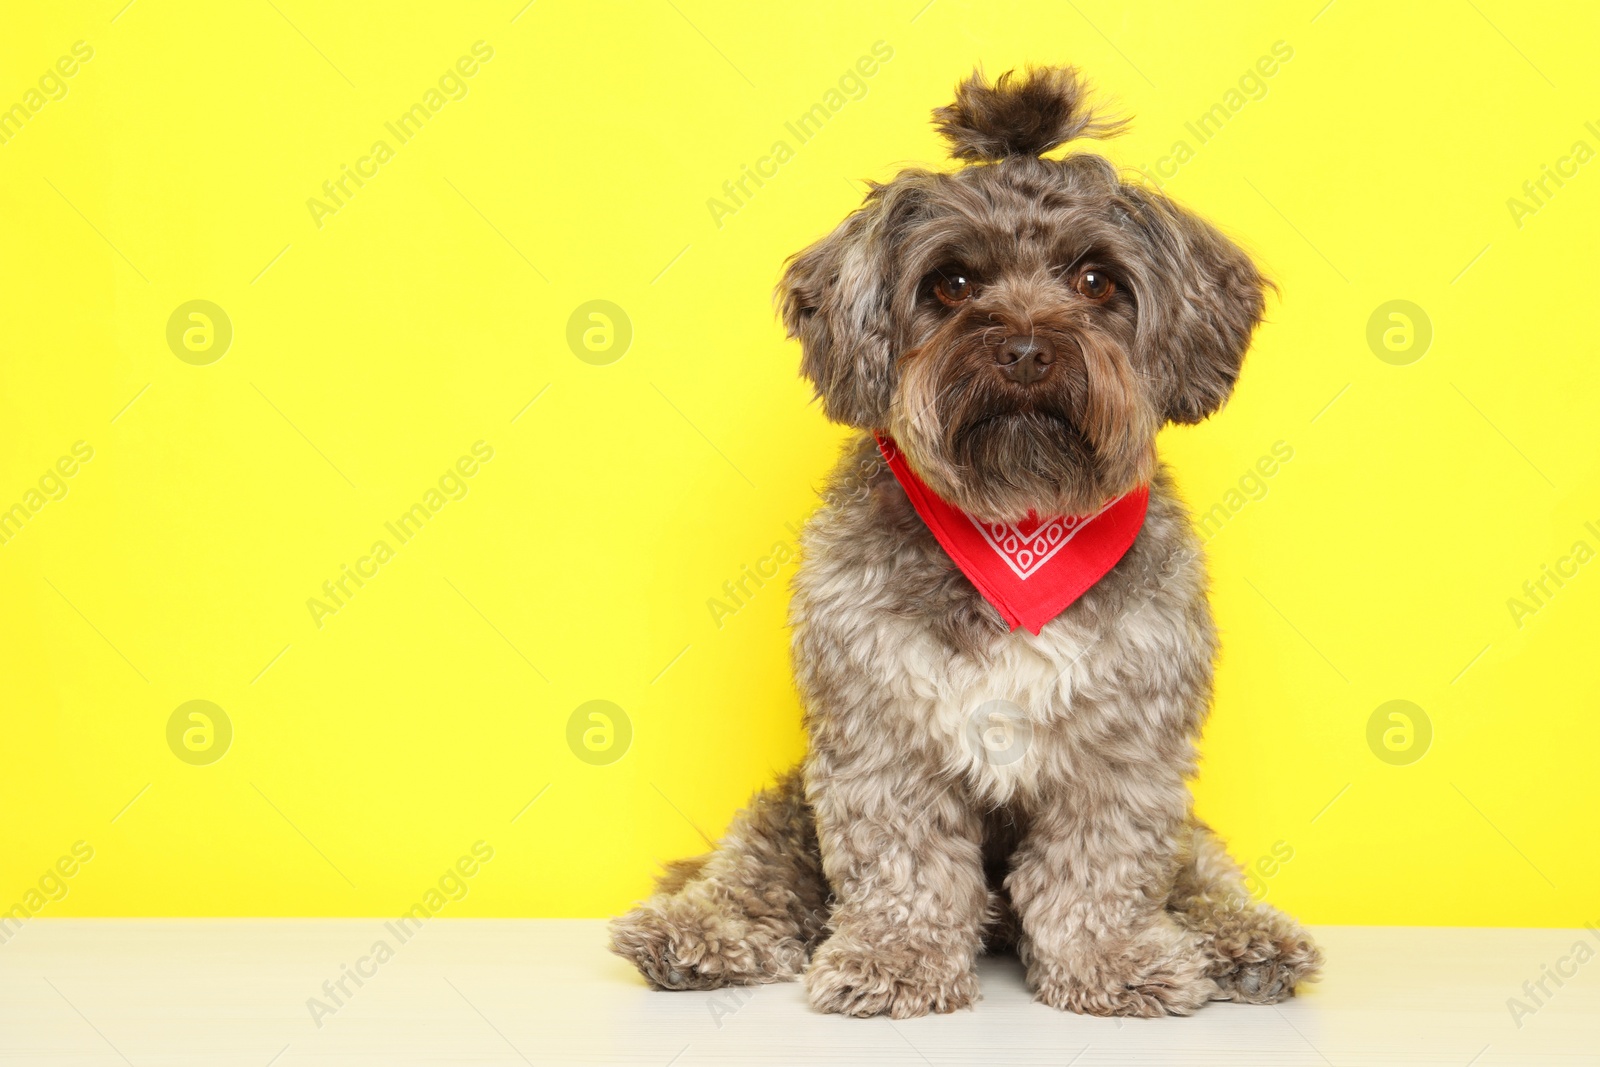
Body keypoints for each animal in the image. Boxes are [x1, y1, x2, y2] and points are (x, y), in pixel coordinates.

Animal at [604, 64, 1318, 1017]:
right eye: (950, 284)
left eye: (1097, 279)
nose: (1023, 349)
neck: (1018, 518)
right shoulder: (881, 734)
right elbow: (905, 866)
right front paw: (897, 958)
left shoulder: (1125, 744)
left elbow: (1102, 866)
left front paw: (1112, 960)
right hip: (790, 806)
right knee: (754, 867)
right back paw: (694, 930)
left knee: (1200, 868)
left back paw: (1245, 938)